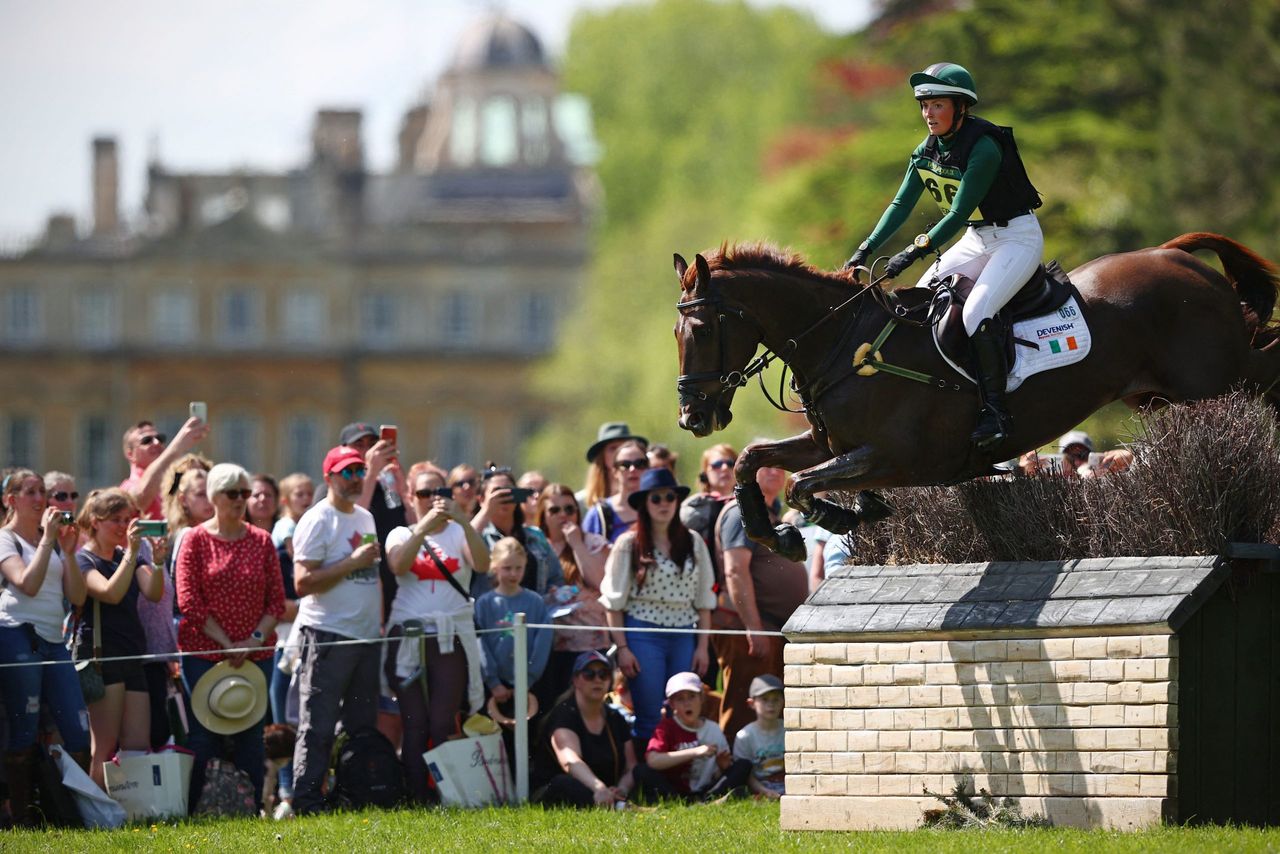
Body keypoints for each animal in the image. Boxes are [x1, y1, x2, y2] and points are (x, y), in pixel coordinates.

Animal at [670, 230, 1280, 560]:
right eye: (675, 333)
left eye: (700, 330)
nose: (692, 417)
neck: (842, 342)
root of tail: (1174, 255)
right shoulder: (831, 443)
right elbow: (754, 460)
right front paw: (779, 536)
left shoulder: (899, 458)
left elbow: (800, 483)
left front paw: (839, 516)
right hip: (1161, 397)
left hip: (1221, 378)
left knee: (1266, 372)